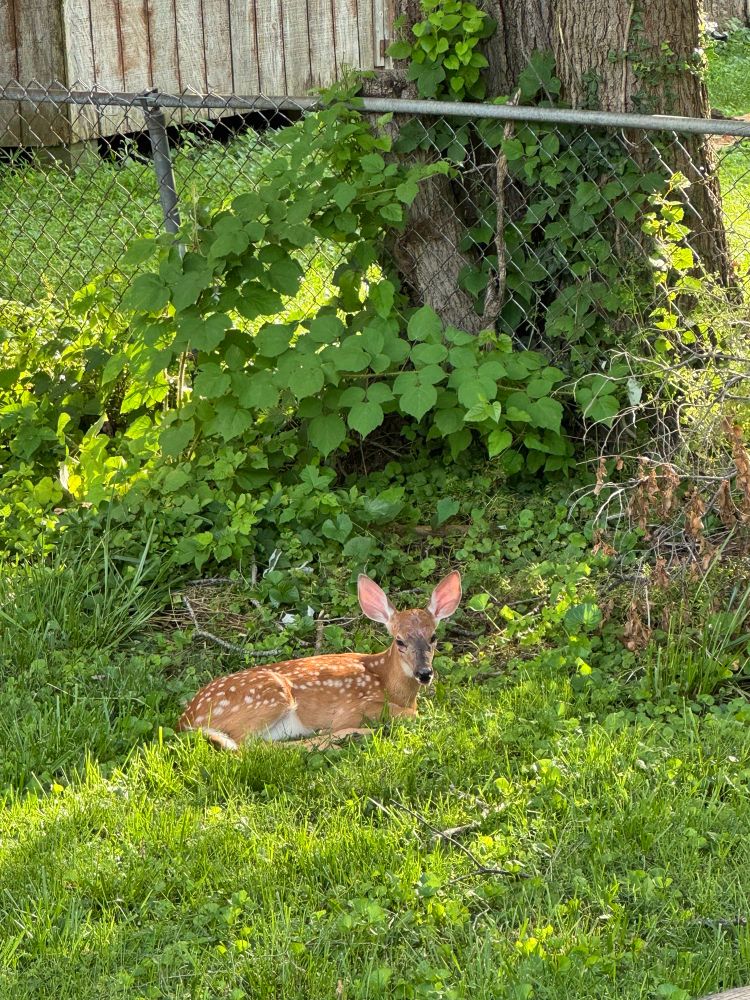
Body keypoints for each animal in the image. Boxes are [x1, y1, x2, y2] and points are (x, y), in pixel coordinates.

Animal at [177, 571, 462, 750]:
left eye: (434, 636)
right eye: (400, 641)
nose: (424, 673)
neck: (389, 685)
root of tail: (187, 720)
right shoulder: (355, 707)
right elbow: (411, 715)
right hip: (270, 696)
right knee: (249, 748)